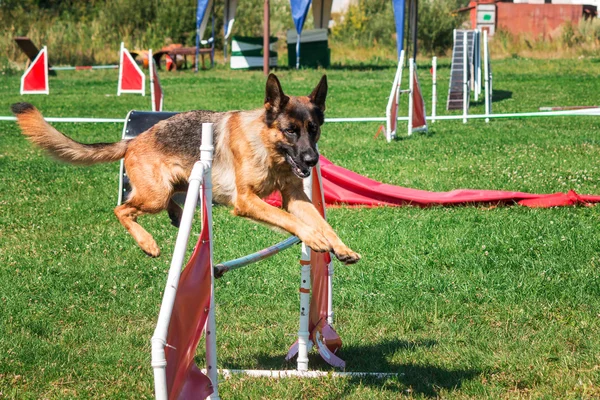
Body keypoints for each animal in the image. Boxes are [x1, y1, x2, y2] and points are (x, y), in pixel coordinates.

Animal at [11, 73, 360, 264]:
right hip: (154, 194)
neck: (267, 147)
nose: (312, 160)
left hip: (175, 186)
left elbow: (323, 223)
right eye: (290, 131)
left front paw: (339, 246)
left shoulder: (295, 197)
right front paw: (314, 239)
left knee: (163, 205)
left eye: (313, 129)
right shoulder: (247, 202)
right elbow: (290, 221)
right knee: (122, 209)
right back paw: (148, 243)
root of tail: (133, 141)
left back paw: (179, 219)